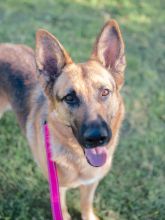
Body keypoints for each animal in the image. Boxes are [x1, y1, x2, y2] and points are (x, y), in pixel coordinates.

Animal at [0, 19, 125, 219]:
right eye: (70, 98)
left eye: (105, 92)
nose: (97, 138)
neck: (78, 158)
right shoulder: (58, 189)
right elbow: (64, 211)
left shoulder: (91, 183)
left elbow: (86, 204)